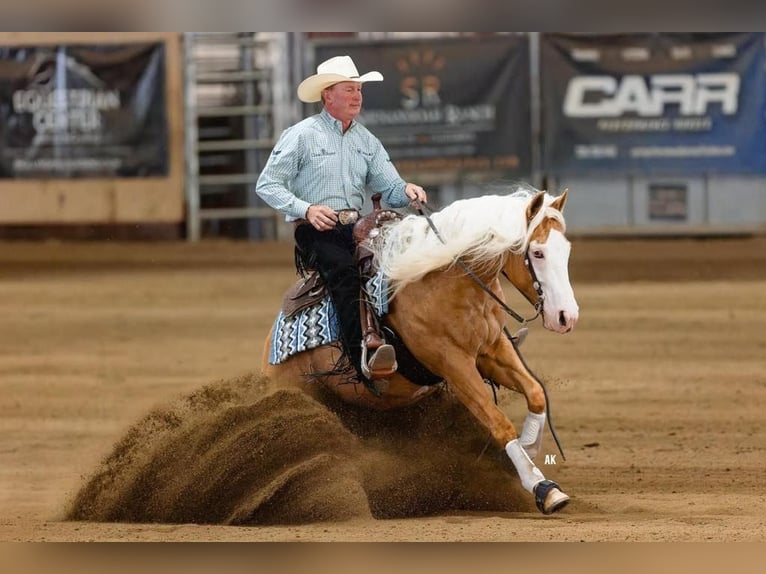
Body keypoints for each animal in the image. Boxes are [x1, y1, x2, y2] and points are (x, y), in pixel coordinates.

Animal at [262, 186, 579, 515]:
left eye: (566, 250)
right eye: (538, 253)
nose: (566, 317)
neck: (445, 281)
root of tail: (271, 343)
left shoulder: (493, 350)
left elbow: (536, 393)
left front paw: (531, 447)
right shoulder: (454, 365)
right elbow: (498, 422)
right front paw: (541, 486)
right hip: (297, 390)